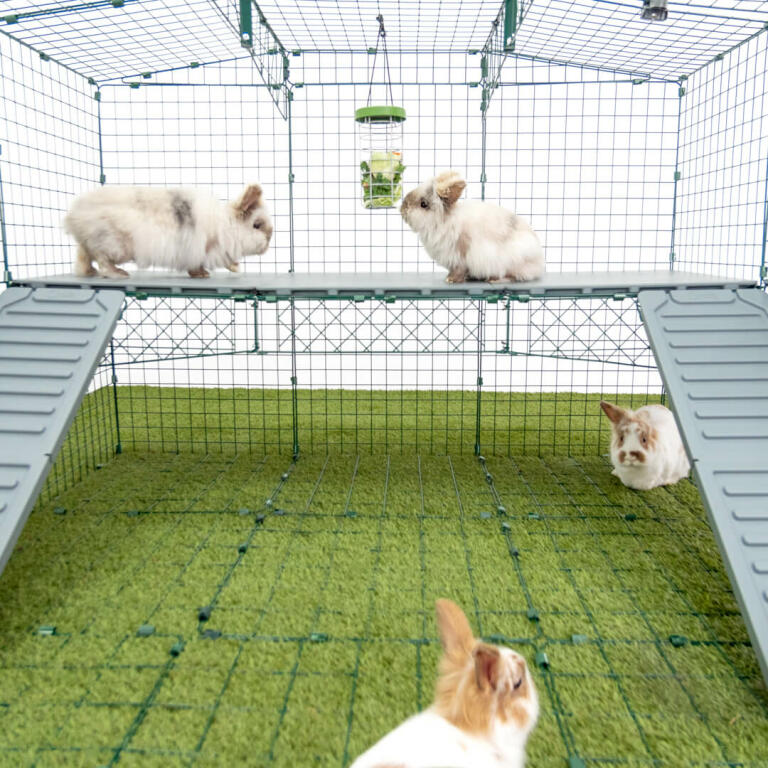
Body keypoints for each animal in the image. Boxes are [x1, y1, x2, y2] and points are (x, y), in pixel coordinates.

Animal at [64, 184, 272, 279]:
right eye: (257, 225)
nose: (270, 238)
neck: (226, 226)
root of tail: (73, 216)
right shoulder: (202, 248)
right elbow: (202, 263)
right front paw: (204, 274)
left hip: (91, 242)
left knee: (84, 254)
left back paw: (88, 272)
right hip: (113, 245)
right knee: (102, 261)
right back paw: (119, 273)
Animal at [400, 171, 545, 283]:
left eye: (423, 204)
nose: (403, 209)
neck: (442, 222)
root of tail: (539, 263)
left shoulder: (460, 256)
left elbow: (459, 270)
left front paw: (451, 280)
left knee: (513, 275)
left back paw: (494, 280)